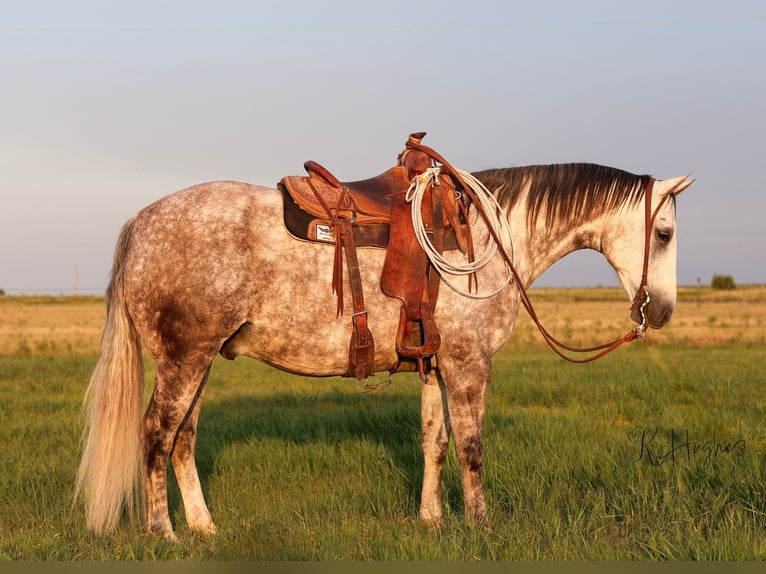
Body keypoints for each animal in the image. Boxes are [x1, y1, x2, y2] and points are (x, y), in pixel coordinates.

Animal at [75, 159, 693, 540]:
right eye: (663, 233)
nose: (661, 311)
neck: (491, 238)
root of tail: (141, 223)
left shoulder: (434, 364)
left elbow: (434, 442)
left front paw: (432, 521)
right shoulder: (469, 364)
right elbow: (471, 446)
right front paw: (482, 526)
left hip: (200, 360)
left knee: (182, 440)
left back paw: (204, 528)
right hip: (183, 360)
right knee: (156, 435)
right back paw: (163, 532)